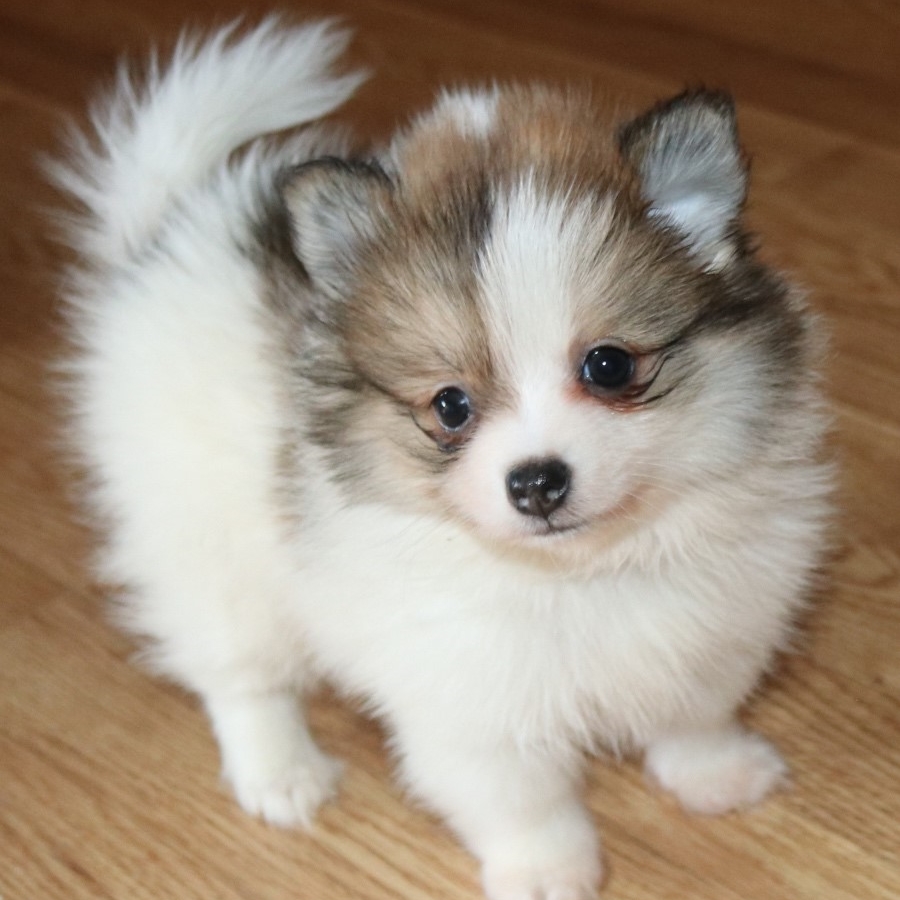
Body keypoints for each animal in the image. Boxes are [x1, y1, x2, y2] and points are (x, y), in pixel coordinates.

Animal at [54, 18, 833, 899]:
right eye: (451, 406)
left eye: (608, 365)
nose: (536, 481)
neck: (584, 571)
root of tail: (173, 229)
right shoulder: (467, 702)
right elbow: (521, 795)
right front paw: (545, 870)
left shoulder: (712, 636)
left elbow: (694, 716)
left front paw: (717, 776)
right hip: (205, 545)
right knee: (239, 673)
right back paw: (280, 771)